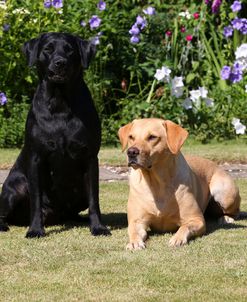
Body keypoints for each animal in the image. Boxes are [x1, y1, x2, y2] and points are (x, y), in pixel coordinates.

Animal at [0, 31, 110, 237]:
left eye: (70, 50)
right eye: (48, 49)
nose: (60, 62)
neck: (60, 101)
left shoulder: (90, 157)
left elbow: (94, 199)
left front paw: (98, 227)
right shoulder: (36, 158)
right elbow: (35, 200)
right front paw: (35, 229)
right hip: (15, 186)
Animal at [118, 118, 240, 250]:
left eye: (152, 137)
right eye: (131, 137)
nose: (131, 152)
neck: (157, 184)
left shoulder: (196, 219)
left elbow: (184, 227)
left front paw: (177, 238)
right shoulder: (137, 221)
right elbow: (134, 231)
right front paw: (134, 242)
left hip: (223, 193)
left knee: (235, 211)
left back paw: (226, 218)